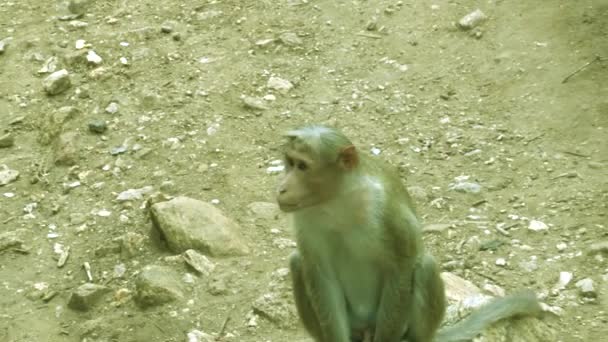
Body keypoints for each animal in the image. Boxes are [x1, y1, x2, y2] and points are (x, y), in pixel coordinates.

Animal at [276, 125, 540, 342]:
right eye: (289, 162)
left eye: (302, 166)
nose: (282, 188)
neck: (338, 198)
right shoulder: (305, 217)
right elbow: (321, 275)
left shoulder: (387, 209)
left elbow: (401, 266)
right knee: (298, 263)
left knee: (424, 266)